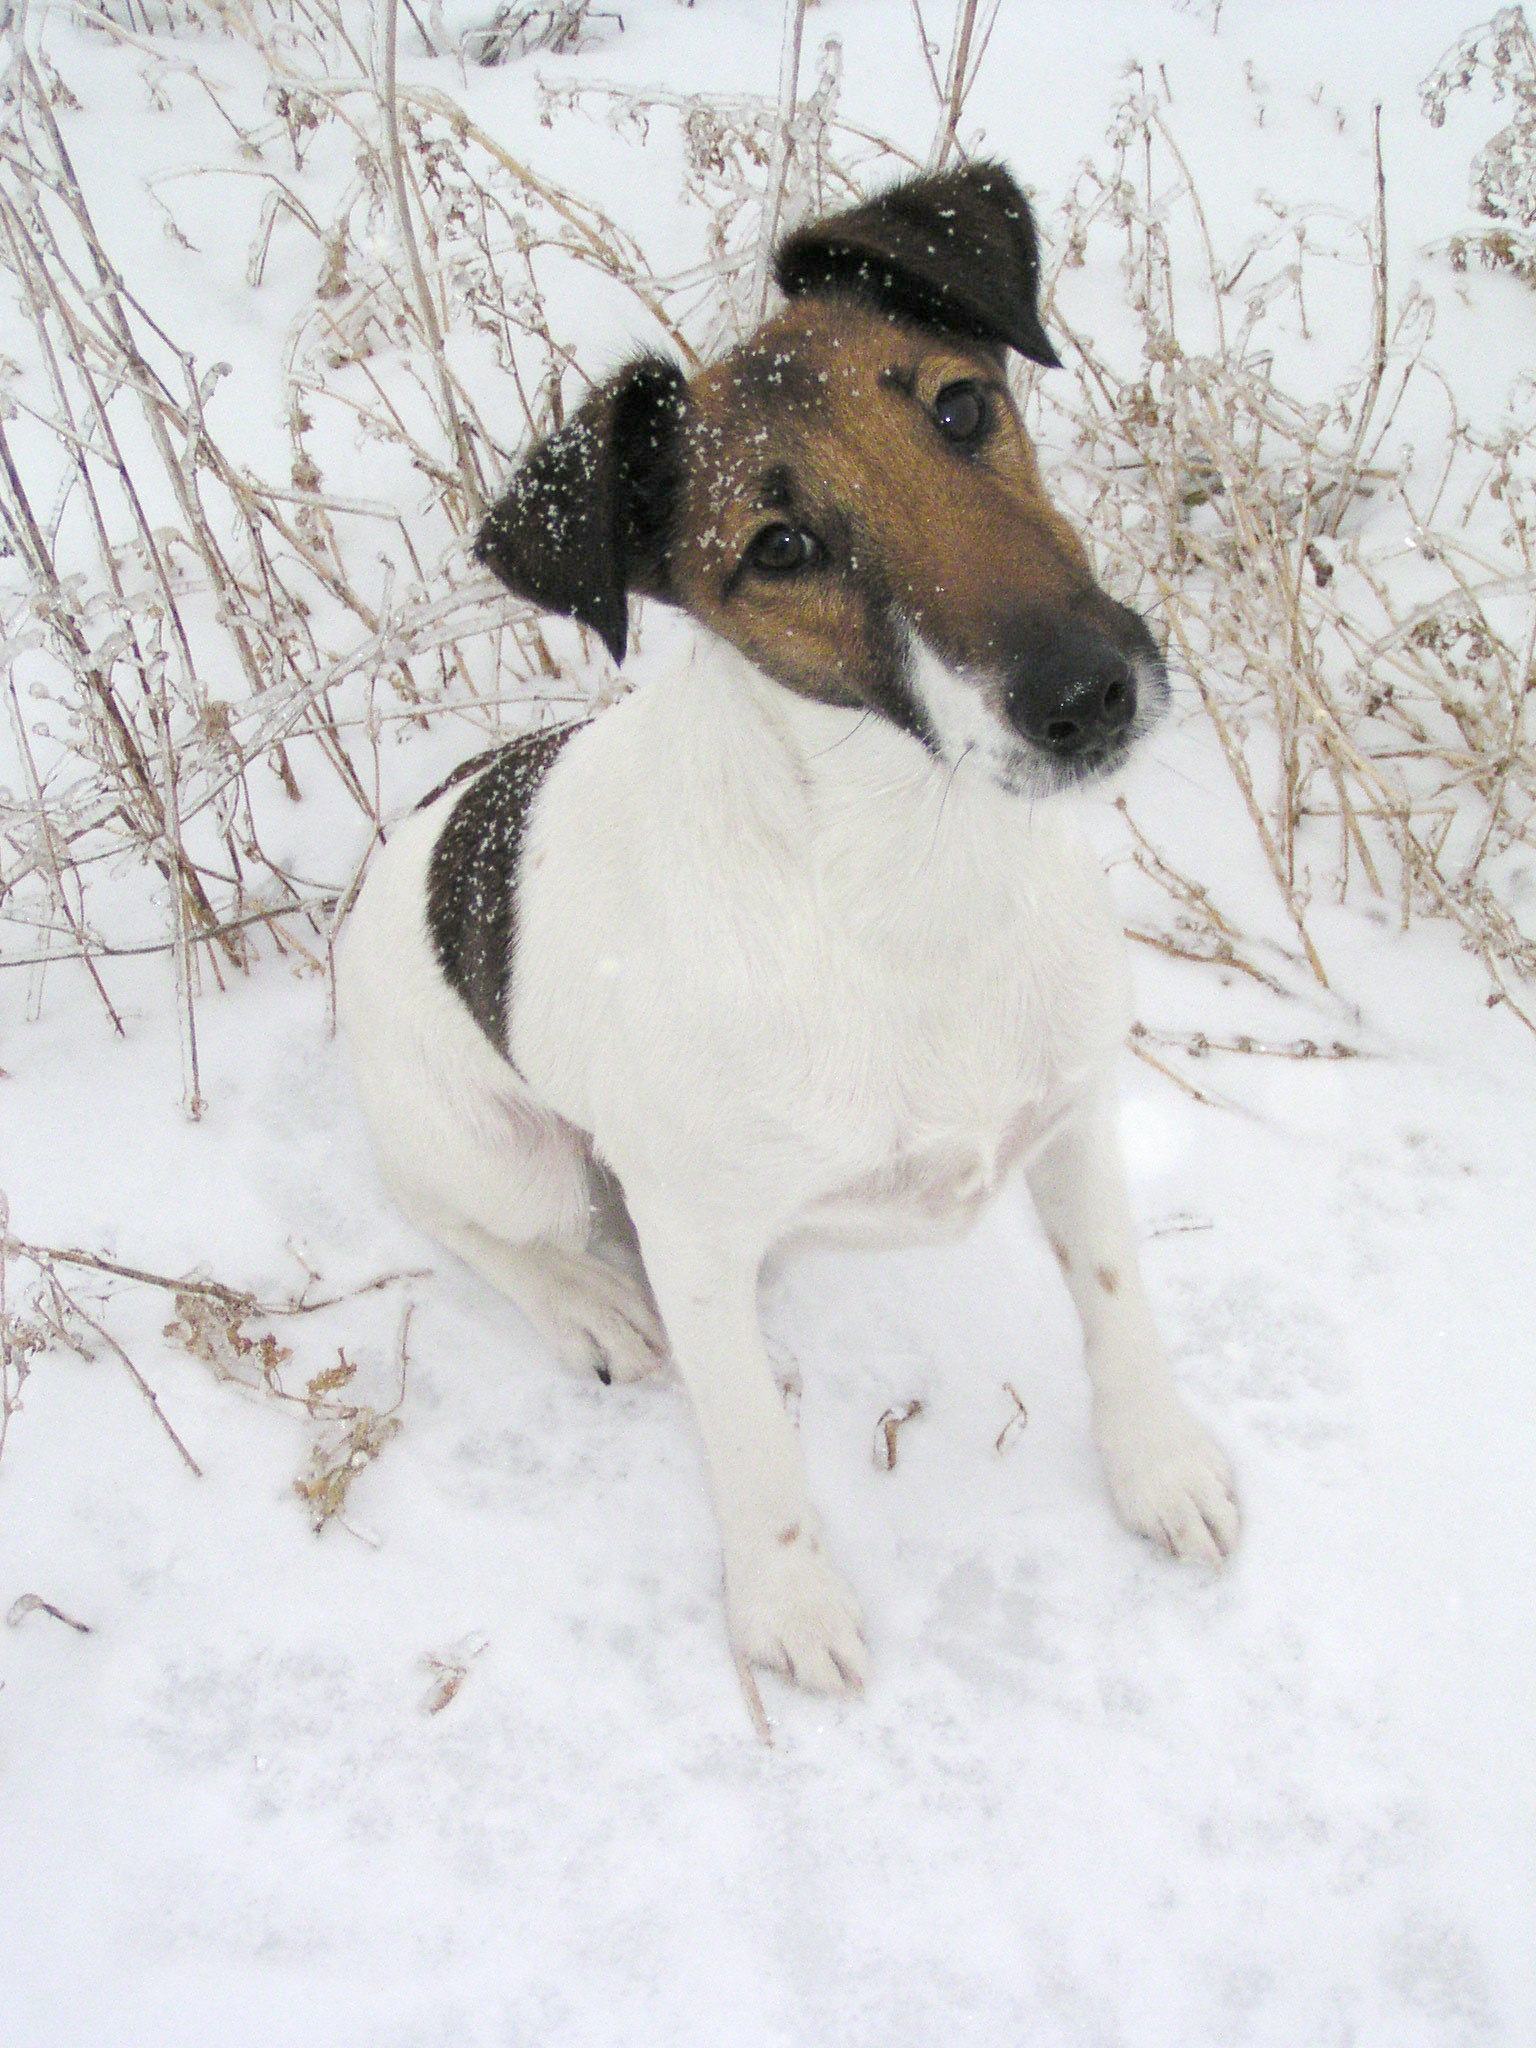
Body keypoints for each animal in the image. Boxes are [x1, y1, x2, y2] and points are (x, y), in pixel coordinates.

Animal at [339, 163, 1236, 1695]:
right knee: (450, 1212)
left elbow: (1117, 1301)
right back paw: (584, 1300)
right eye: (781, 548)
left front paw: (1160, 1464)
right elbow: (750, 1442)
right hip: (505, 1156)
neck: (916, 871)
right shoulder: (697, 1244)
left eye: (959, 407)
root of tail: (405, 840)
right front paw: (787, 1601)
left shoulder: (1072, 1110)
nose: (1087, 693)